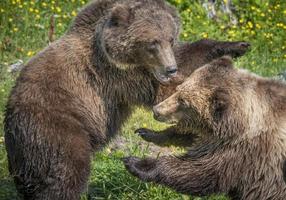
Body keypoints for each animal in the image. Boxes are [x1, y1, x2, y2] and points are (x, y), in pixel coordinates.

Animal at [4, 0, 250, 199]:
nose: (170, 69)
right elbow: (163, 91)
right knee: (65, 170)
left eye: (170, 39)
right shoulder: (117, 76)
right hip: (57, 124)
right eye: (152, 42)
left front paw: (237, 46)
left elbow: (189, 55)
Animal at [123, 56, 286, 200]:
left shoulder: (246, 154)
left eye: (184, 102)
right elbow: (188, 135)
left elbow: (200, 171)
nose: (156, 110)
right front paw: (146, 132)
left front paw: (136, 163)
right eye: (178, 89)